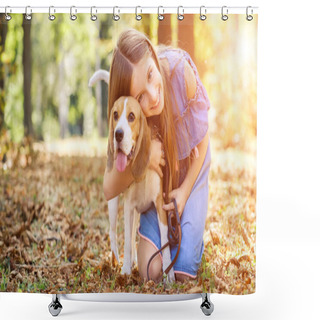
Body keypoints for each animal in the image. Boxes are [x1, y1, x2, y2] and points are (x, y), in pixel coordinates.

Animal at [88, 70, 175, 282]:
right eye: (115, 114)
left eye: (132, 116)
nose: (118, 134)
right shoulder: (127, 207)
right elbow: (126, 241)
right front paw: (126, 270)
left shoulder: (160, 204)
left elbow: (164, 240)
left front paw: (169, 272)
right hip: (113, 204)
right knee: (113, 233)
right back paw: (115, 262)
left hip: (137, 212)